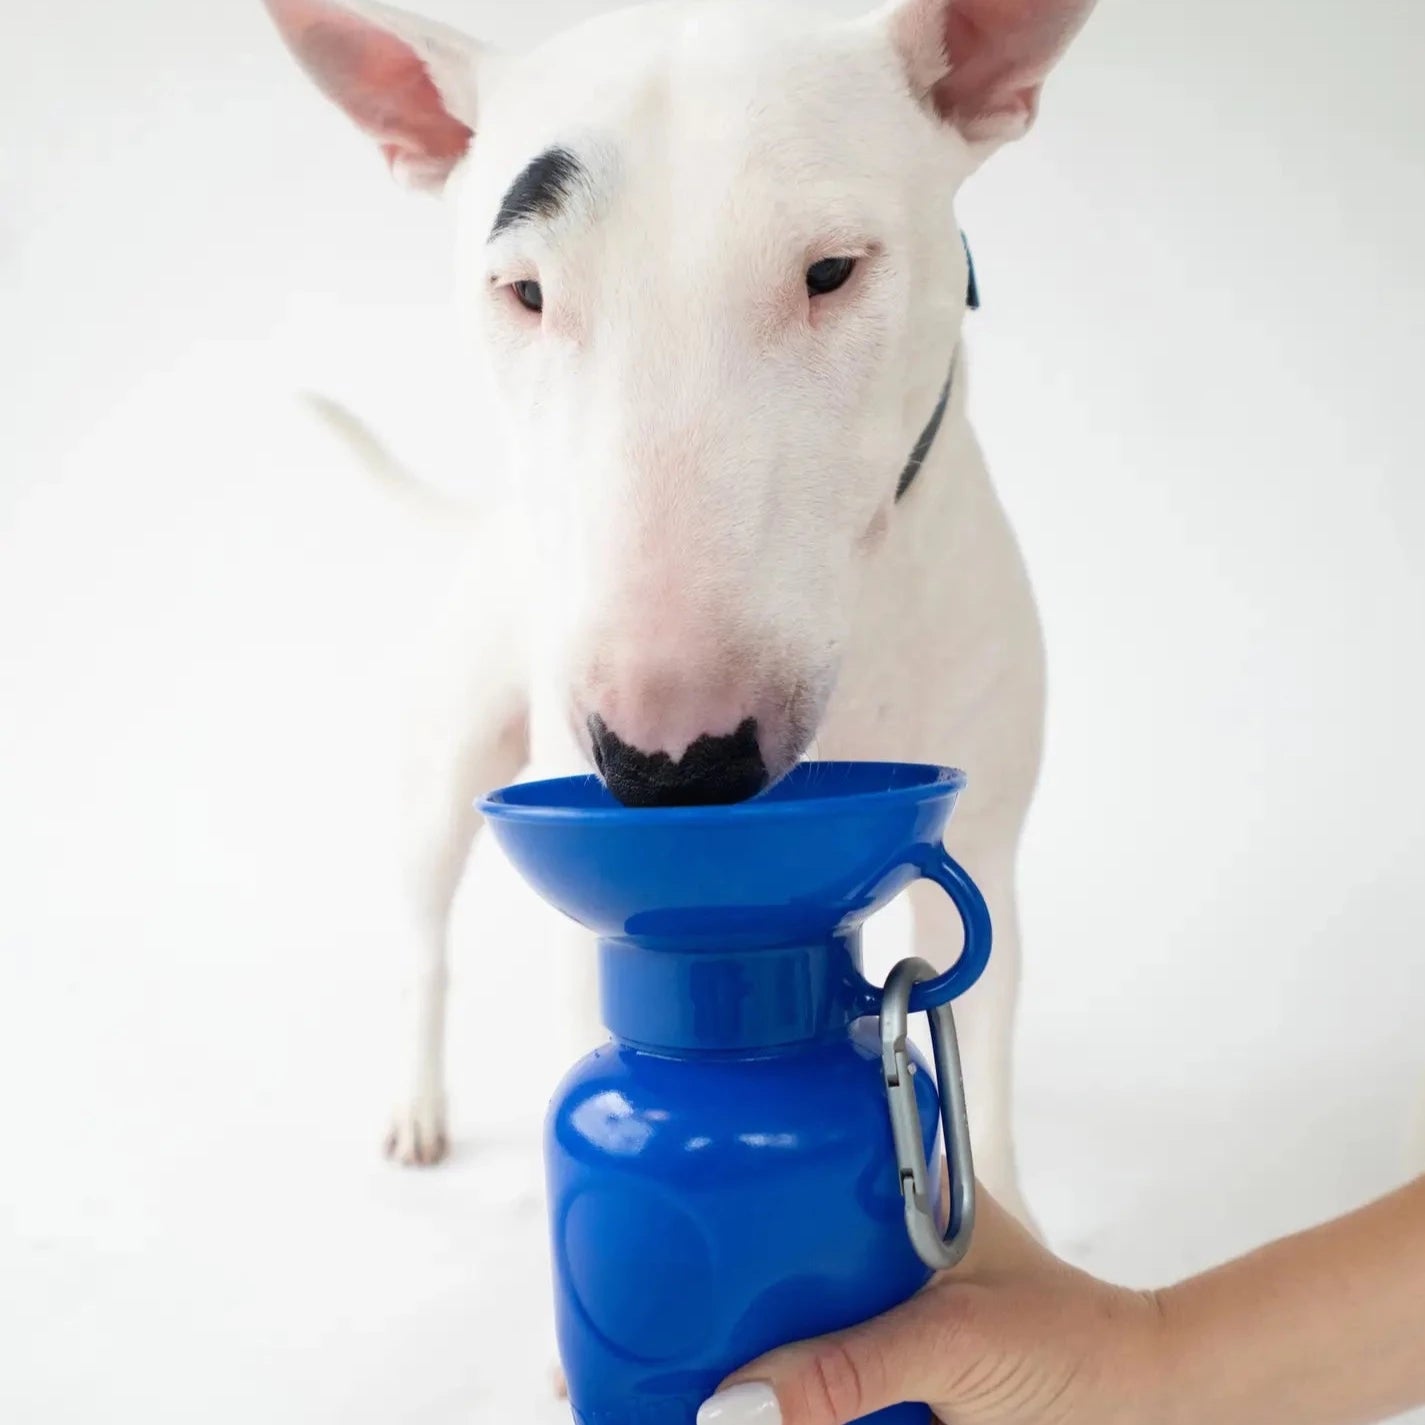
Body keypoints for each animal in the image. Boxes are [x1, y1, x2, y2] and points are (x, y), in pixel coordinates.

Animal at [265, 0, 1088, 1225]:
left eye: (831, 271)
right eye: (524, 292)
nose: (670, 766)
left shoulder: (978, 830)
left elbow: (976, 1021)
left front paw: (1016, 1228)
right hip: (449, 762)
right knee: (423, 940)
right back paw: (416, 1106)